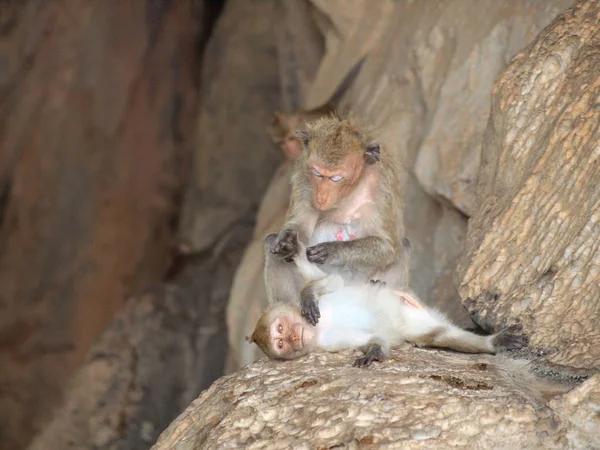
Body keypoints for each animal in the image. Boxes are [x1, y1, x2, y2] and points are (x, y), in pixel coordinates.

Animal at [251, 243, 528, 366]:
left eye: (280, 328)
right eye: (279, 343)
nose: (292, 339)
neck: (318, 328)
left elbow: (332, 281)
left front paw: (306, 289)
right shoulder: (328, 344)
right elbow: (368, 338)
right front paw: (374, 351)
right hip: (417, 319)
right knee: (437, 335)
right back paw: (491, 343)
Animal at [266, 112, 410, 324]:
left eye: (336, 178)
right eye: (317, 173)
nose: (321, 197)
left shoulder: (382, 185)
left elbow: (387, 246)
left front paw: (332, 250)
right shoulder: (303, 177)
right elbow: (299, 228)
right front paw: (287, 241)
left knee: (403, 246)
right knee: (271, 243)